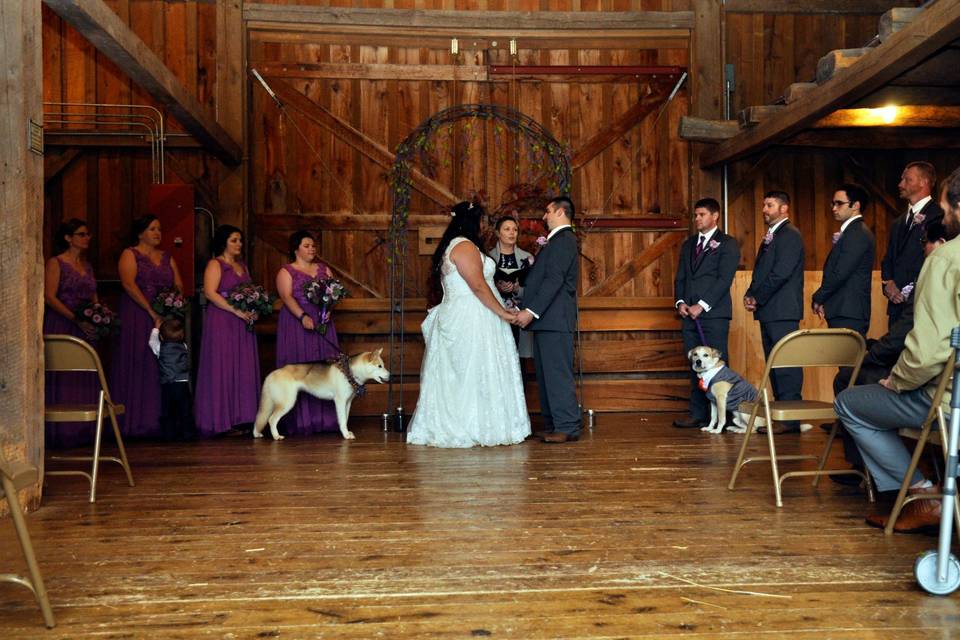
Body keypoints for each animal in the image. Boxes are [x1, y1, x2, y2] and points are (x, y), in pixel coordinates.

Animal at [255, 350, 394, 440]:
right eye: (379, 366)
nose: (391, 375)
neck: (350, 372)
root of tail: (272, 373)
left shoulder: (348, 402)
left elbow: (345, 419)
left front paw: (346, 432)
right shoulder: (340, 401)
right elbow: (342, 420)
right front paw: (345, 435)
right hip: (287, 403)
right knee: (271, 419)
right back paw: (276, 436)